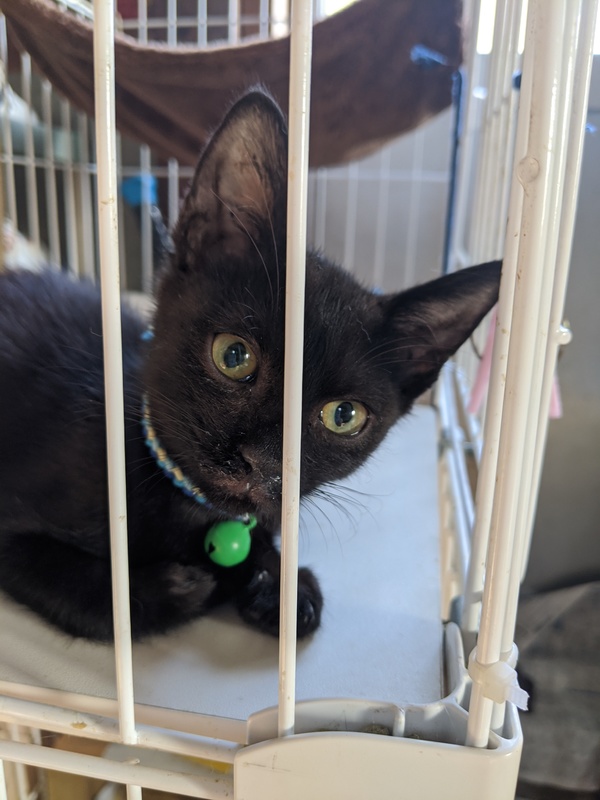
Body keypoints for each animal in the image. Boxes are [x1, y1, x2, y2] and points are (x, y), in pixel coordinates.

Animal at [0, 89, 501, 642]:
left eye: (343, 416)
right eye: (234, 356)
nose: (264, 461)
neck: (197, 509)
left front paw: (280, 584)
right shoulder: (13, 525)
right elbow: (89, 595)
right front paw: (180, 586)